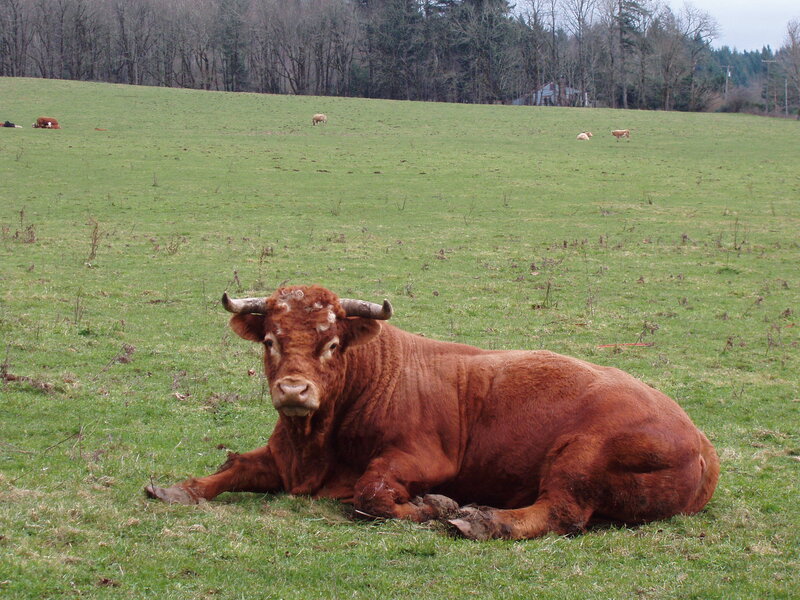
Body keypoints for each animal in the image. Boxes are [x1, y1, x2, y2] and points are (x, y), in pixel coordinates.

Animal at [146, 285, 719, 540]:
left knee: (560, 512)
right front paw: (178, 488)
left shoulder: (419, 459)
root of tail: (701, 443)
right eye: (269, 340)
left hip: (579, 456)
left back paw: (481, 520)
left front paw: (433, 506)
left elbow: (371, 496)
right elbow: (232, 465)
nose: (293, 390)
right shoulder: (278, 456)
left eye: (331, 344)